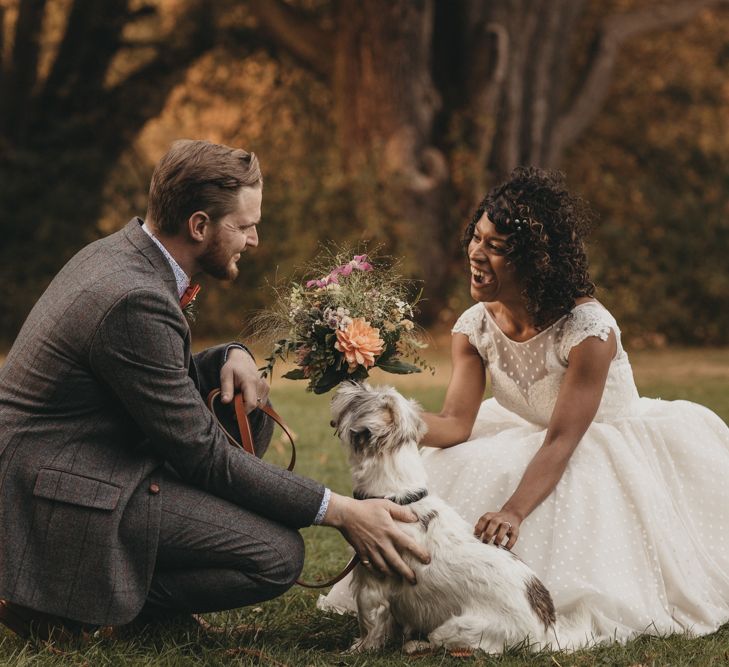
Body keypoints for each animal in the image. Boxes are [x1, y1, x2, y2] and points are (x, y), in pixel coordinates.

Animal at [328, 384, 588, 656]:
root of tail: (547, 634)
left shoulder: (371, 586)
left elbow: (370, 626)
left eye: (360, 397)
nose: (348, 383)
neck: (399, 498)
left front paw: (356, 650)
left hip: (454, 628)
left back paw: (416, 645)